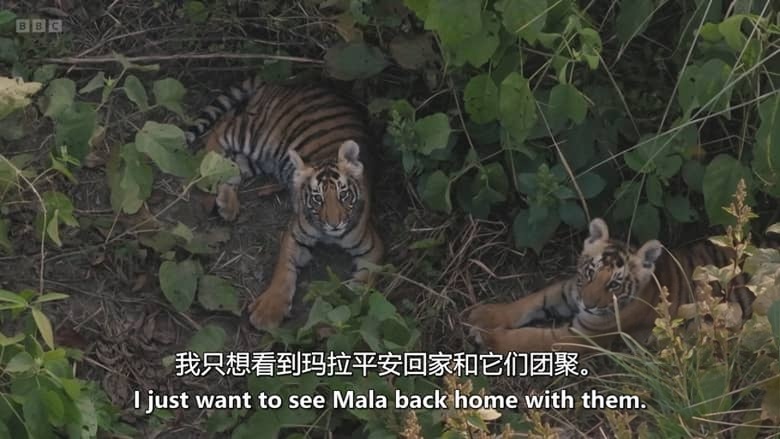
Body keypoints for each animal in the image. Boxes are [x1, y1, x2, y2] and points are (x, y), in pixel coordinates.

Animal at [185, 77, 383, 331]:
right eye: (317, 198)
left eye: (344, 195)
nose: (334, 225)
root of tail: (282, 84)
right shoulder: (294, 234)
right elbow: (283, 272)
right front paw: (268, 312)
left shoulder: (373, 249)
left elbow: (364, 284)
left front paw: (343, 315)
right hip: (257, 135)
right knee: (222, 128)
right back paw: (207, 174)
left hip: (260, 160)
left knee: (232, 165)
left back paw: (226, 204)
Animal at [467, 217, 758, 353]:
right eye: (589, 272)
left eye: (615, 285)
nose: (588, 305)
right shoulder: (569, 290)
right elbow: (530, 301)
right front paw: (484, 315)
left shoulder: (583, 334)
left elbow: (532, 338)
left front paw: (490, 338)